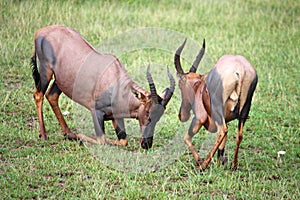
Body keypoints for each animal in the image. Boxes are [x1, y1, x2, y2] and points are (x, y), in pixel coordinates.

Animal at [31, 25, 175, 149]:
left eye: (159, 116)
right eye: (147, 112)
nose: (146, 144)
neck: (116, 81)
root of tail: (40, 31)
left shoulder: (116, 117)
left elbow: (123, 141)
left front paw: (73, 135)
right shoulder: (96, 112)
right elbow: (102, 140)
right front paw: (78, 135)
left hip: (61, 80)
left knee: (51, 95)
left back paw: (67, 132)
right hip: (46, 71)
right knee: (38, 95)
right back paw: (44, 135)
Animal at [176, 38, 258, 169]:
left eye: (180, 85)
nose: (182, 115)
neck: (200, 85)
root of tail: (241, 70)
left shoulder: (200, 118)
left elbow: (186, 138)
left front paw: (200, 160)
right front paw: (221, 162)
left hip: (217, 109)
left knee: (222, 131)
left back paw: (204, 165)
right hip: (245, 109)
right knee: (239, 134)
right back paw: (234, 166)